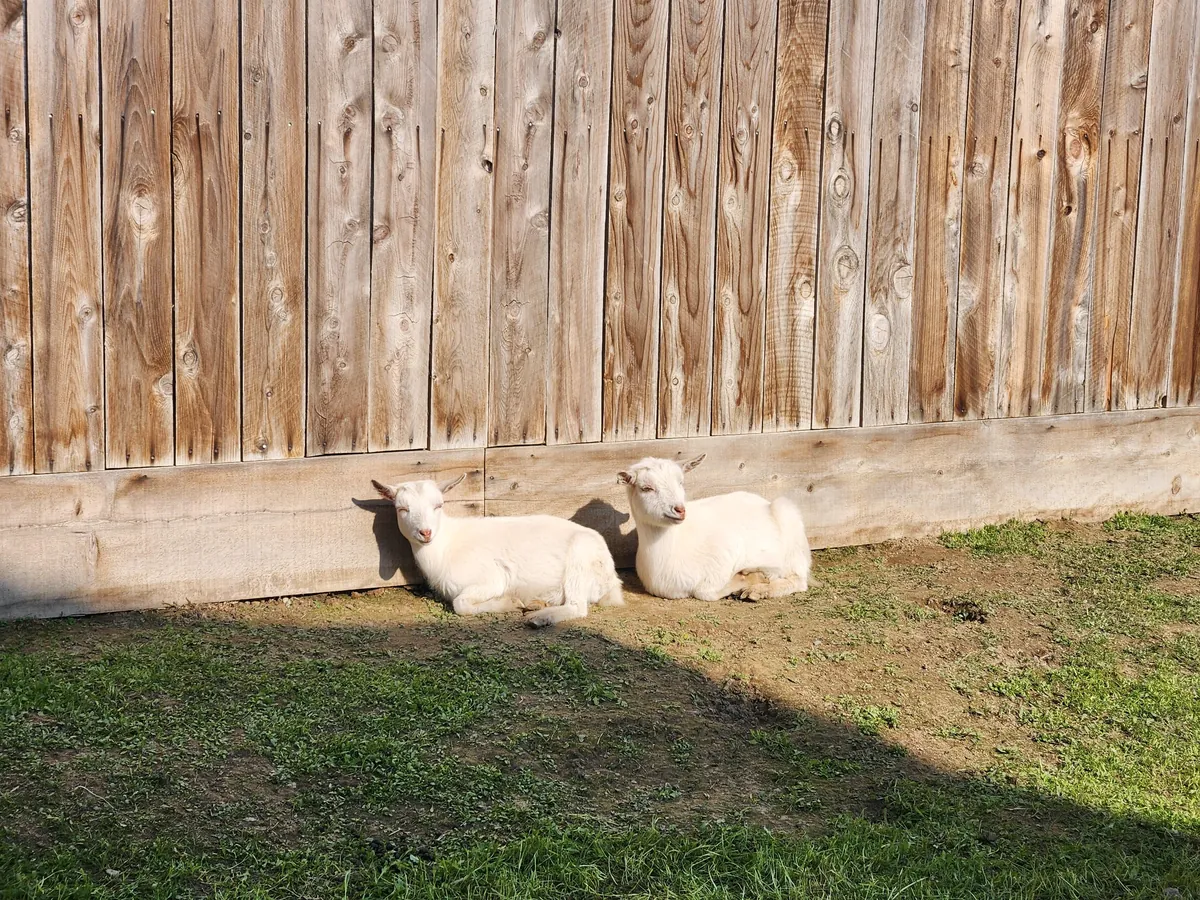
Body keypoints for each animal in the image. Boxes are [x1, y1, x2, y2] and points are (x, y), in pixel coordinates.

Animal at [372, 475, 624, 627]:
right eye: (402, 509)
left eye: (439, 505)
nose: (426, 532)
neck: (445, 548)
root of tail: (612, 579)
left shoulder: (491, 579)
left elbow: (460, 604)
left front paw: (510, 603)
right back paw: (538, 605)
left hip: (580, 559)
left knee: (577, 606)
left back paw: (538, 618)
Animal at [618, 455, 812, 602]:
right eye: (646, 488)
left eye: (681, 482)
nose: (680, 510)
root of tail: (764, 501)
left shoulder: (726, 553)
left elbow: (706, 592)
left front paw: (751, 578)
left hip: (789, 524)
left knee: (799, 579)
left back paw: (757, 591)